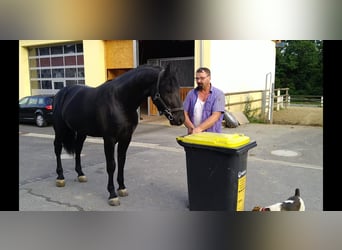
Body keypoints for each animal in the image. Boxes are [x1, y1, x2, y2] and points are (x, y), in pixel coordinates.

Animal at [52, 64, 184, 205]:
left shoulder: (126, 138)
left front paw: (122, 188)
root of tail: (61, 93)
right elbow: (111, 165)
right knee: (57, 149)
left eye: (178, 88)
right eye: (168, 90)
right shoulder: (109, 140)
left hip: (82, 132)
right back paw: (60, 177)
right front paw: (112, 194)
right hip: (60, 130)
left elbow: (121, 162)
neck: (120, 101)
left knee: (78, 150)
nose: (180, 119)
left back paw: (80, 174)